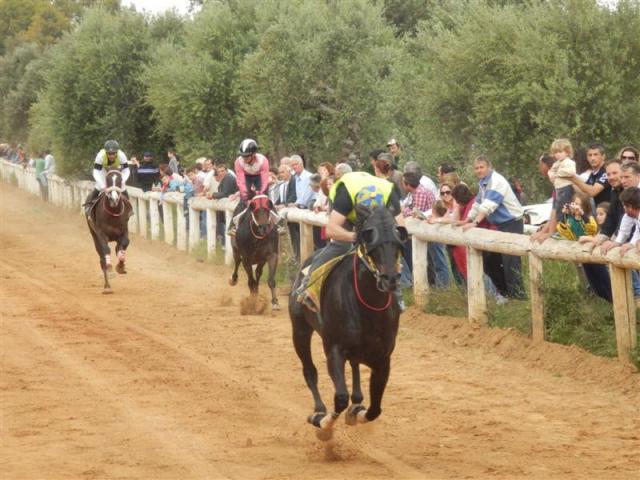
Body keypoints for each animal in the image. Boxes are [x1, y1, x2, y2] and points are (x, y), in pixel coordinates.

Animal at [288, 204, 408, 434]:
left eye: (398, 240)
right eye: (370, 239)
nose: (390, 279)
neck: (368, 307)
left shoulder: (383, 358)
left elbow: (375, 409)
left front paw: (357, 412)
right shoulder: (334, 349)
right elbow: (341, 397)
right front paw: (324, 425)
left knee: (354, 365)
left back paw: (357, 401)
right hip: (299, 329)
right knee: (310, 370)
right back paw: (319, 410)